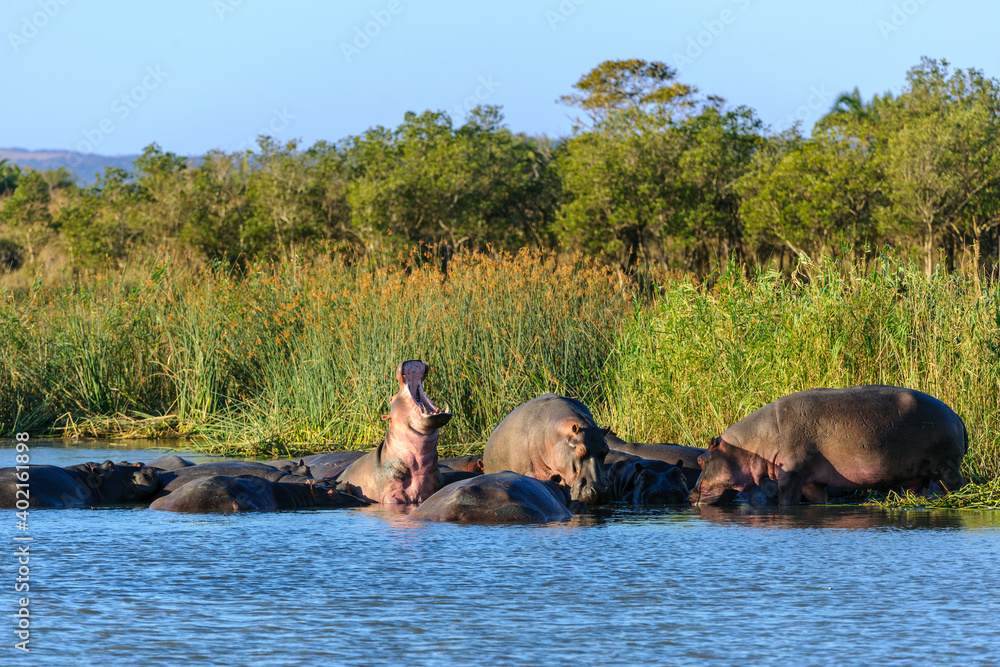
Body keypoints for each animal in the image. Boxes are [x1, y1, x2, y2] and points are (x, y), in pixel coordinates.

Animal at [688, 386, 968, 506]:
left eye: (701, 460)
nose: (690, 494)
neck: (752, 444)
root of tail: (957, 417)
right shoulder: (812, 481)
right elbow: (818, 500)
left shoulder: (791, 474)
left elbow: (786, 500)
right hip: (916, 478)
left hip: (947, 468)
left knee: (956, 485)